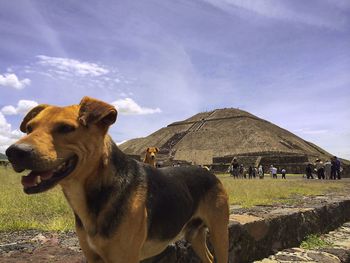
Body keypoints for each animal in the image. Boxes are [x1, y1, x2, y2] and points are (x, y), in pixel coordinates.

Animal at [6, 97, 230, 263]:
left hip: (219, 233)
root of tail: (210, 173)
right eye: (29, 128)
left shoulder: (125, 257)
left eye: (65, 128)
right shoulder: (93, 257)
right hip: (195, 234)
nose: (13, 152)